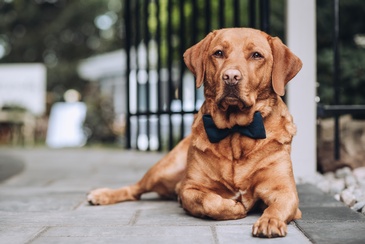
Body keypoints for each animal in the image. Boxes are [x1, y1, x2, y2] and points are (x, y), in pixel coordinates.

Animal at [87, 27, 302, 238]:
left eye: (256, 55)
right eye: (218, 53)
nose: (231, 77)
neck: (235, 131)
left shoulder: (285, 191)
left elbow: (277, 206)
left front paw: (269, 221)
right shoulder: (190, 188)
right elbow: (210, 201)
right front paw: (235, 207)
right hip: (165, 170)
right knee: (135, 189)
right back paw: (102, 194)